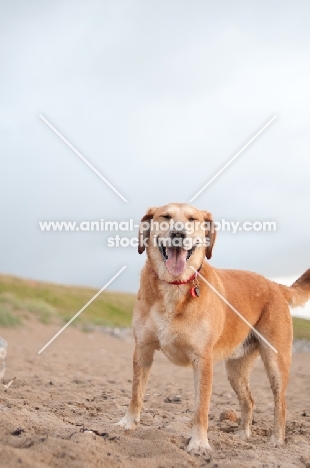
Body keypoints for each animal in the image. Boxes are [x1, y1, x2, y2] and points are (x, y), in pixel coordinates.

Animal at [117, 203, 310, 452]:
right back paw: (242, 435)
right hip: (236, 369)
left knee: (281, 403)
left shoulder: (202, 360)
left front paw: (199, 443)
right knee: (249, 400)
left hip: (276, 361)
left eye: (192, 219)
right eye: (166, 216)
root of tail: (275, 285)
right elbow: (136, 393)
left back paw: (276, 440)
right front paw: (128, 423)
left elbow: (201, 407)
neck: (174, 287)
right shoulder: (142, 349)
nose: (178, 233)